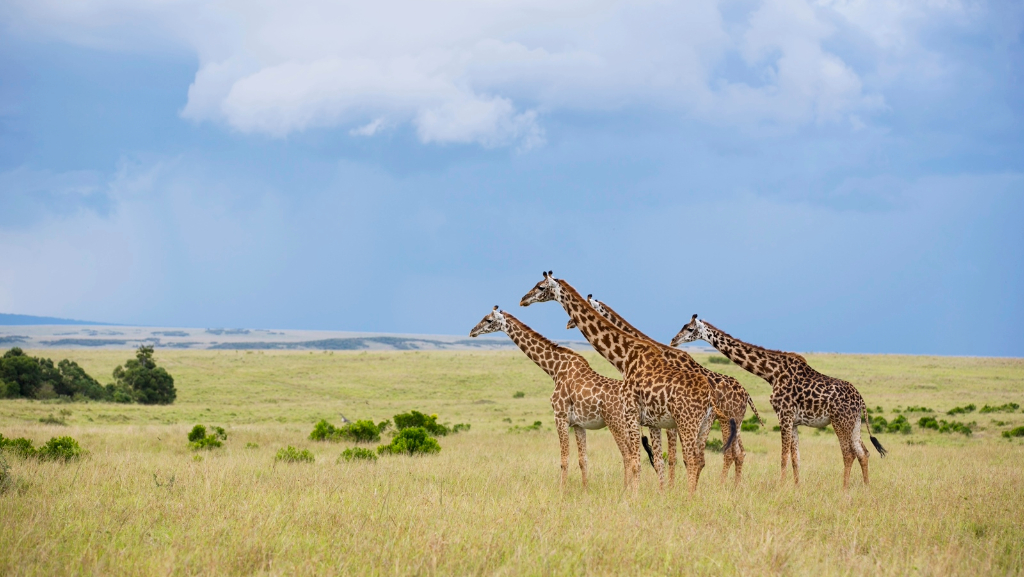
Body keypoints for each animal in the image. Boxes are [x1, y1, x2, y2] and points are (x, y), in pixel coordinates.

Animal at [468, 307, 643, 491]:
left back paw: (626, 491)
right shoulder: (579, 424)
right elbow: (583, 460)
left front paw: (562, 491)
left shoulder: (560, 416)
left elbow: (564, 460)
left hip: (615, 422)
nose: (472, 331)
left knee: (629, 455)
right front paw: (585, 490)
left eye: (488, 320)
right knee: (632, 456)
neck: (555, 369)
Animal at [520, 272, 729, 493]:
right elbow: (656, 460)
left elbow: (636, 461)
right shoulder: (651, 420)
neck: (625, 358)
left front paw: (632, 496)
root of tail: (710, 397)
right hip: (703, 425)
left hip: (687, 422)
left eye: (541, 287)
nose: (523, 299)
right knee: (700, 459)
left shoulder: (631, 413)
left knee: (692, 459)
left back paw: (688, 497)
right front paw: (660, 493)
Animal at [569, 295, 761, 485]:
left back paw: (723, 485)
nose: (569, 323)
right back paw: (734, 487)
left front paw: (670, 487)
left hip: (726, 419)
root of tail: (747, 394)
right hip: (733, 421)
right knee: (738, 453)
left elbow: (673, 457)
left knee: (728, 453)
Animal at [675, 315, 884, 487]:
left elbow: (783, 456)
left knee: (849, 453)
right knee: (863, 452)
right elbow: (795, 458)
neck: (771, 373)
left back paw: (845, 488)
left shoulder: (784, 415)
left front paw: (780, 486)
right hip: (854, 423)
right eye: (683, 326)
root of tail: (861, 400)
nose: (674, 340)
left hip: (840, 421)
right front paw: (797, 487)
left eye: (690, 329)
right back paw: (866, 487)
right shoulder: (794, 421)